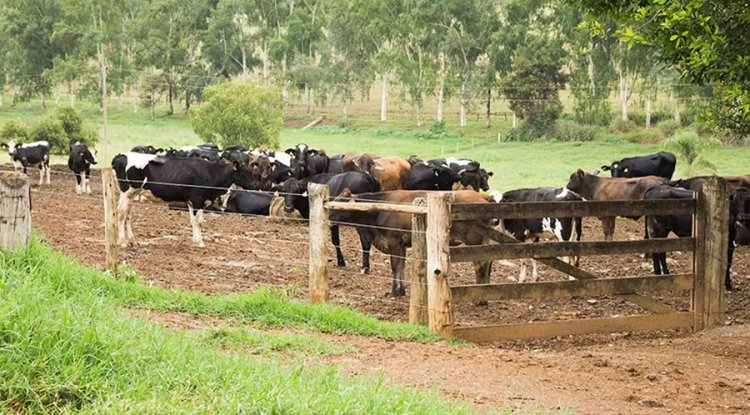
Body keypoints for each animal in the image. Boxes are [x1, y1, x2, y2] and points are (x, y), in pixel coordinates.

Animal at [110, 154, 254, 249]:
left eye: (250, 171)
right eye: (244, 173)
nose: (253, 185)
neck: (211, 173)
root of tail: (120, 156)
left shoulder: (191, 202)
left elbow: (193, 221)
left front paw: (195, 241)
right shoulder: (198, 200)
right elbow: (198, 222)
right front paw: (200, 242)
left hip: (132, 194)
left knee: (127, 215)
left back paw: (132, 241)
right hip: (127, 192)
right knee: (121, 214)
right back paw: (122, 242)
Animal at [328, 190, 494, 298]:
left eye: (341, 201)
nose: (328, 214)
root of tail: (483, 196)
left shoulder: (394, 242)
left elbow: (395, 266)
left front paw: (394, 292)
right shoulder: (400, 245)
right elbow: (401, 266)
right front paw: (401, 290)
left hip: (475, 241)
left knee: (481, 264)